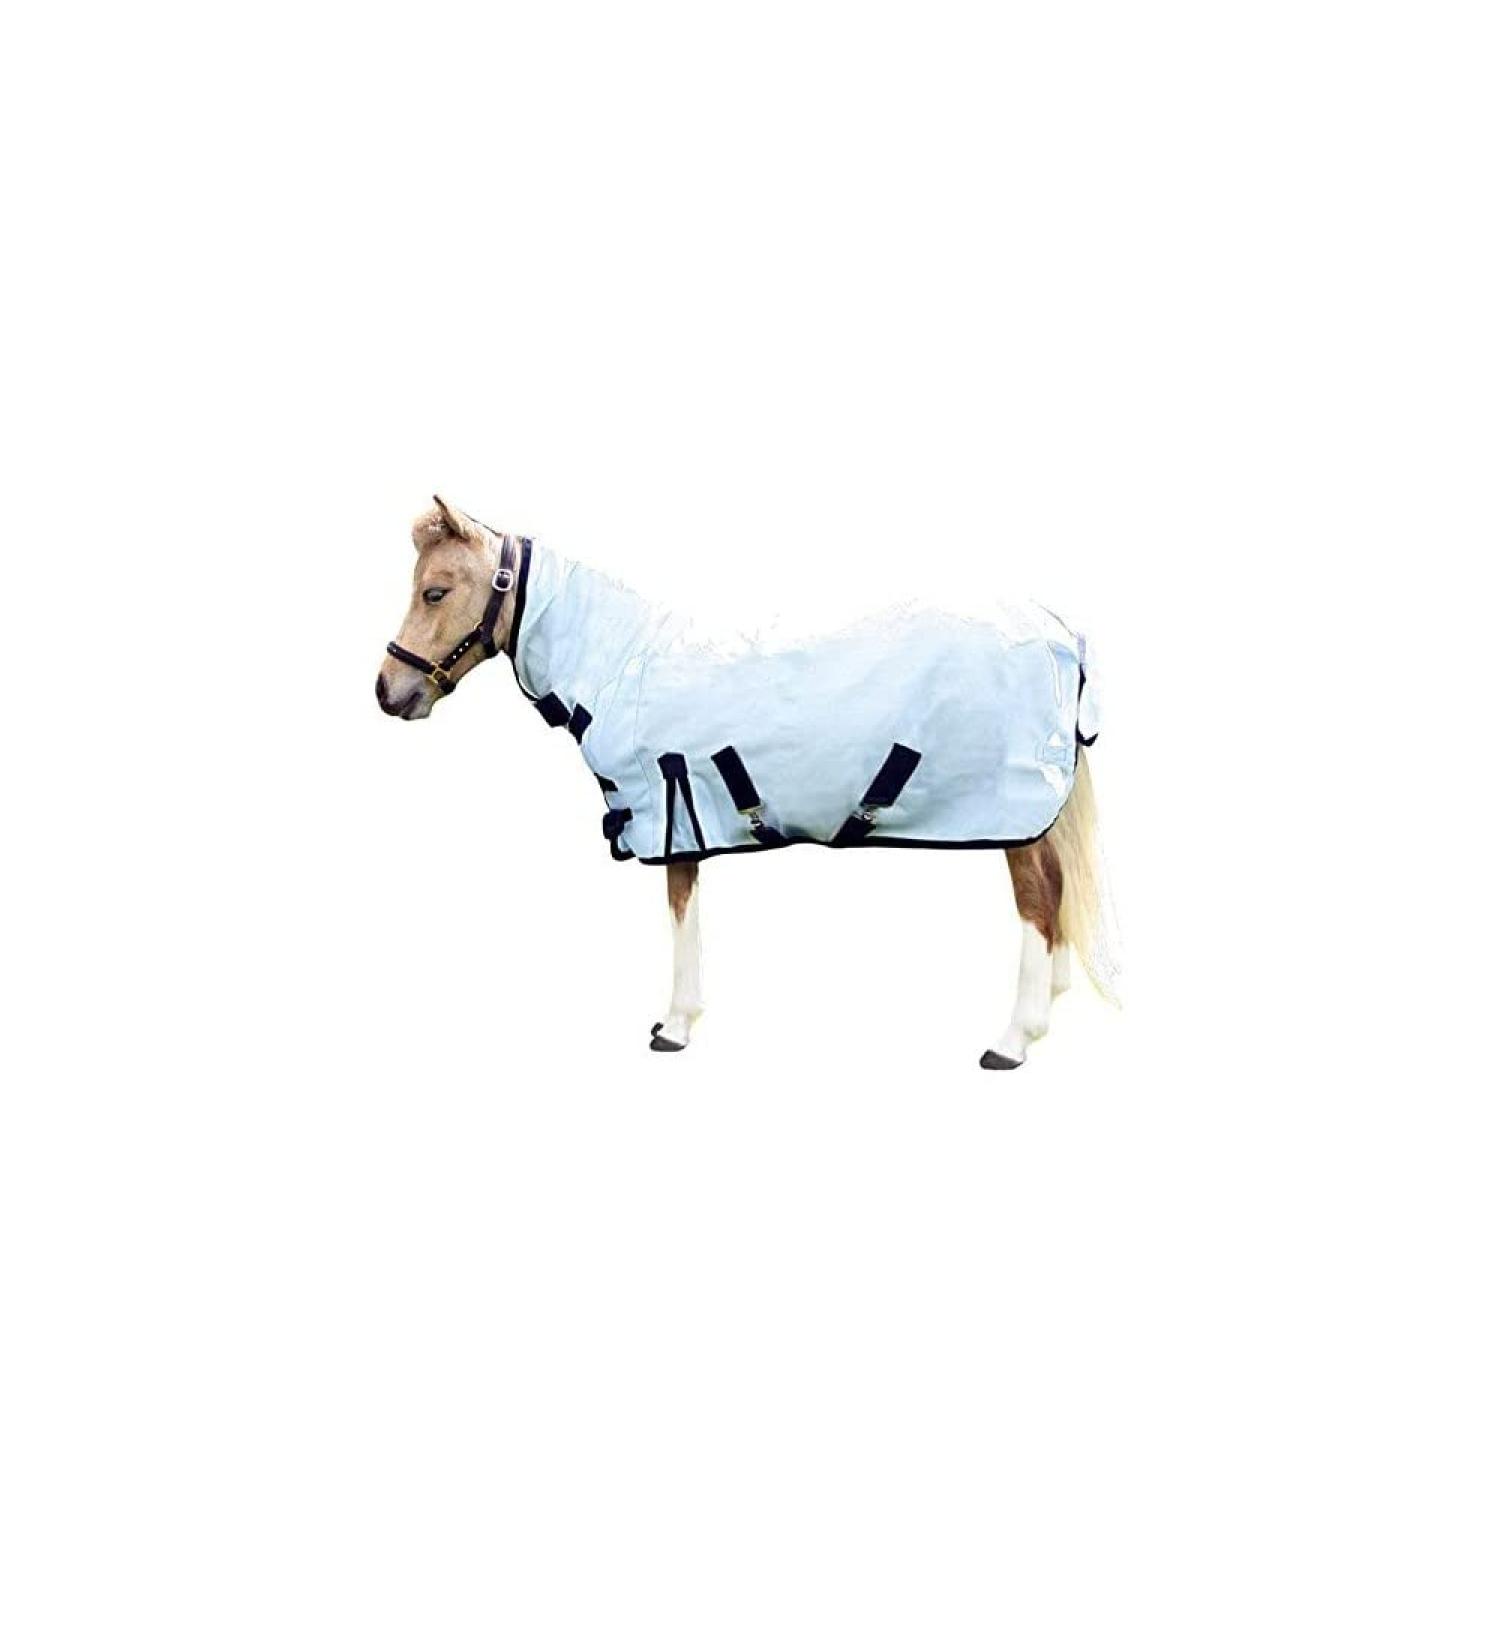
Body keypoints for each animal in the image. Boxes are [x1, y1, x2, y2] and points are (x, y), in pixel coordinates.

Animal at [376, 497, 1119, 1068]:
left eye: (435, 591)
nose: (388, 691)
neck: (619, 660)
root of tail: (1059, 631)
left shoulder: (668, 810)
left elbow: (681, 914)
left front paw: (676, 1025)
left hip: (1011, 812)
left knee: (1039, 899)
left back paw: (1014, 1039)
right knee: (1055, 893)